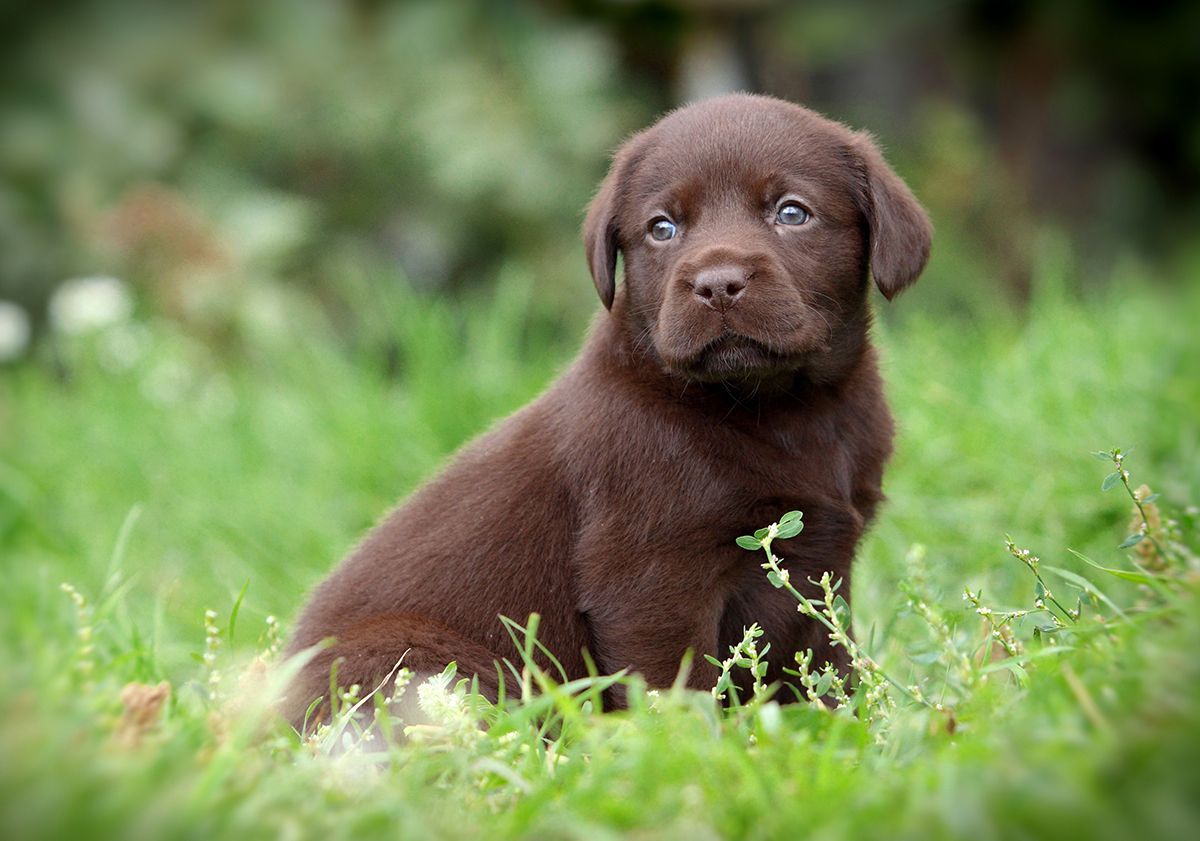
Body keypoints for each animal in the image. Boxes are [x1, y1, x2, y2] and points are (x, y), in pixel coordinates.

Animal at [280, 89, 926, 719]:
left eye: (792, 213)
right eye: (662, 228)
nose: (716, 284)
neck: (781, 407)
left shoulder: (826, 561)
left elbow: (830, 666)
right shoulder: (650, 581)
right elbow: (677, 690)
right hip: (418, 655)